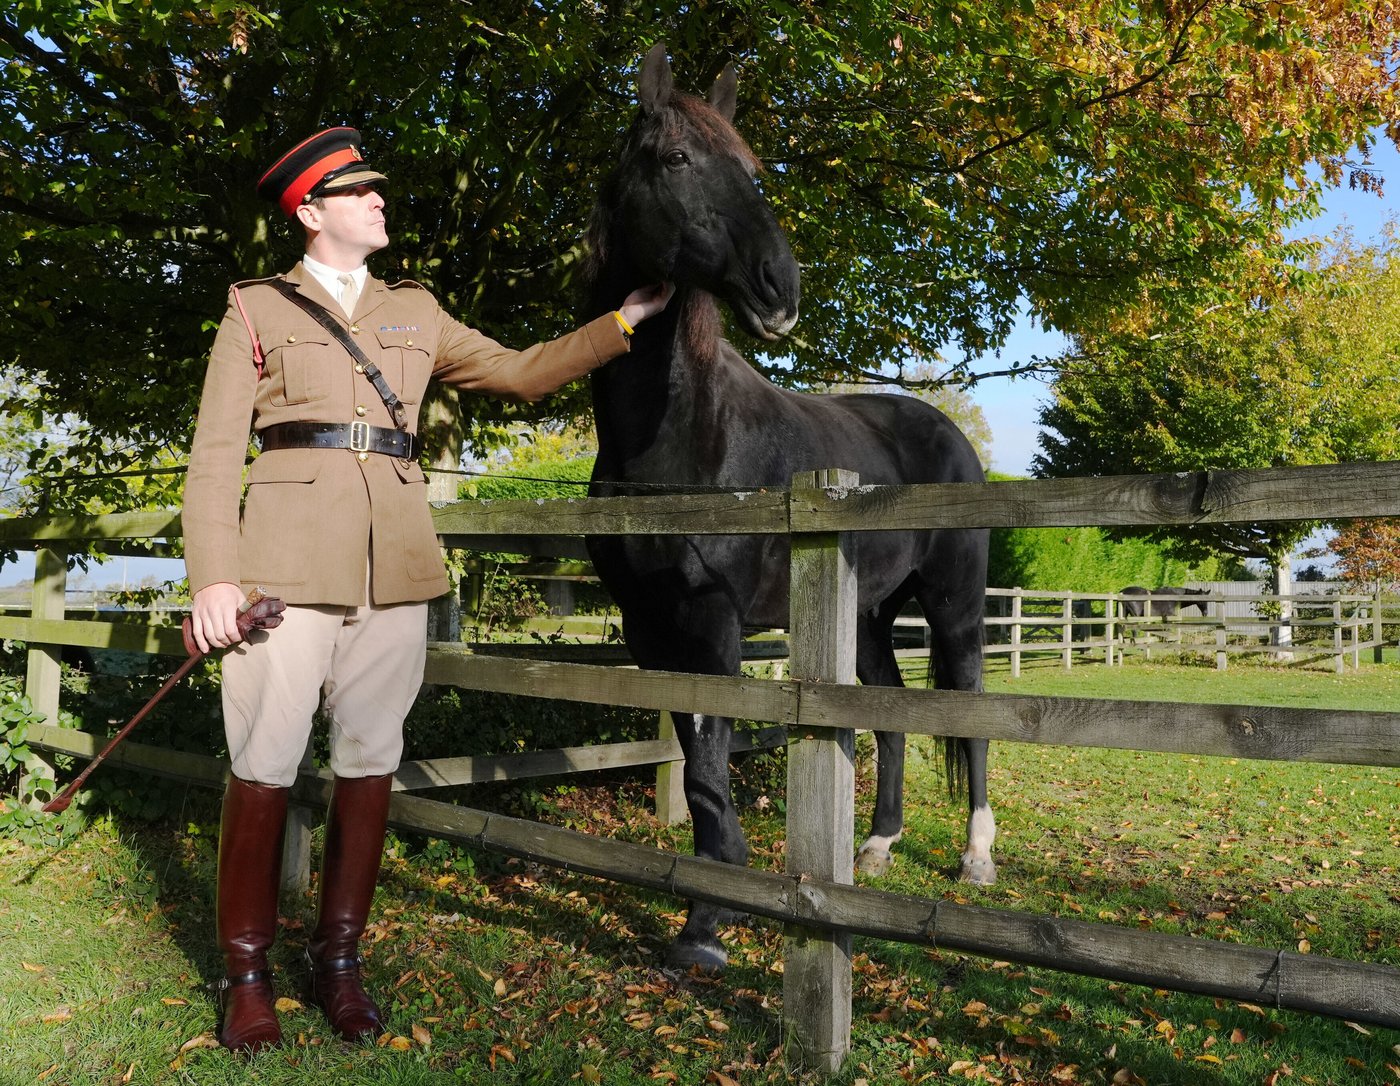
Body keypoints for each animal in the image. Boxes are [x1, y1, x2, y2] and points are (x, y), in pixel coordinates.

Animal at [582, 44, 991, 970]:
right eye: (674, 158)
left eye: (755, 168)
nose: (781, 284)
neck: (684, 441)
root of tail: (947, 432)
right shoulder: (650, 626)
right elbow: (696, 756)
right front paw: (710, 897)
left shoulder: (713, 620)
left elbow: (709, 758)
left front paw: (707, 924)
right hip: (868, 618)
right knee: (889, 720)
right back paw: (874, 848)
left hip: (953, 607)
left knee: (972, 717)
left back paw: (977, 857)